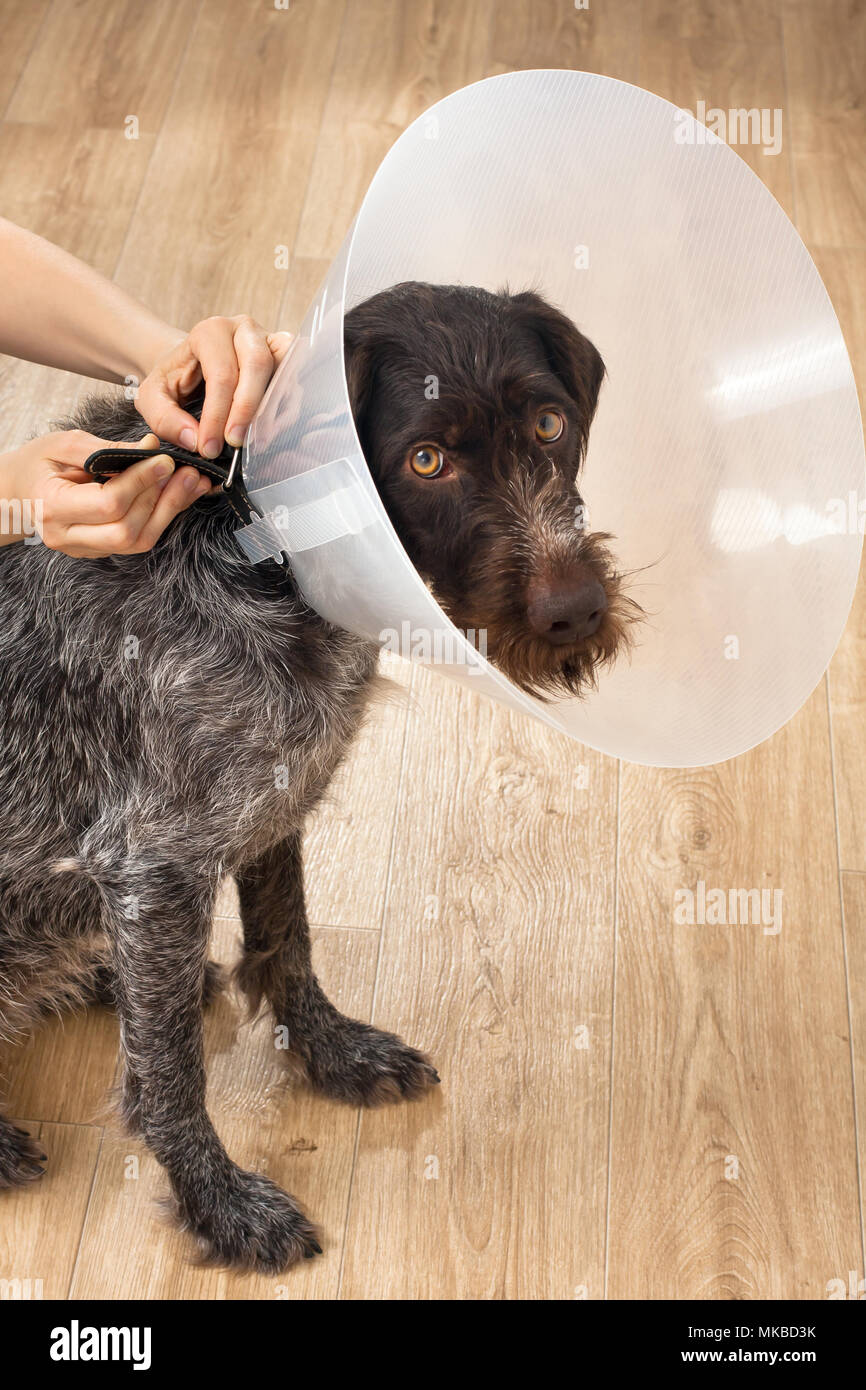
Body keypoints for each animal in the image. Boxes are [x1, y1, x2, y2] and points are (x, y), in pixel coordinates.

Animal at [0, 279, 636, 1273]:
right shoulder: (156, 866)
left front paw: (332, 1054)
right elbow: (172, 1077)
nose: (575, 611)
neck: (259, 546)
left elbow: (288, 940)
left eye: (548, 423)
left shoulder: (274, 799)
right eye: (425, 460)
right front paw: (220, 1204)